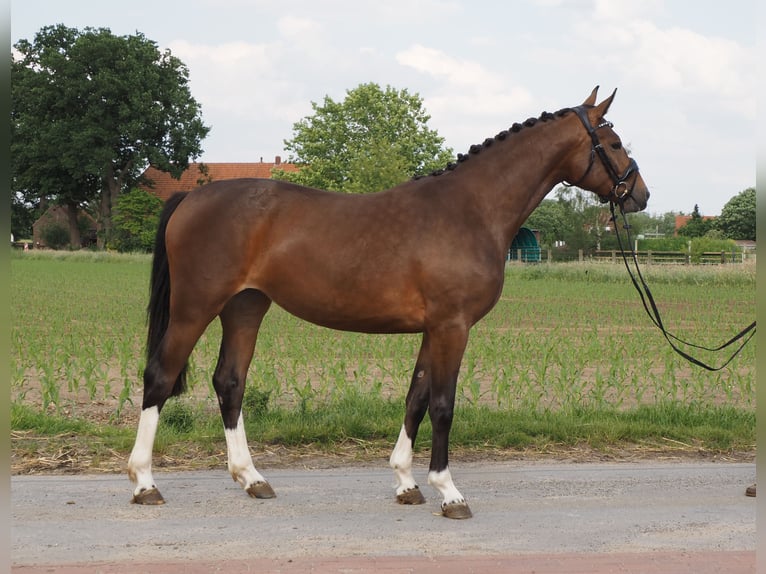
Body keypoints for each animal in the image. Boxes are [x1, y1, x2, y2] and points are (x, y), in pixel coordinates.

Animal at [130, 86, 648, 520]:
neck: (471, 209)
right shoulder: (453, 326)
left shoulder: (433, 329)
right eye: (614, 142)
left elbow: (415, 398)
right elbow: (442, 404)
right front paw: (449, 492)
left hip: (245, 307)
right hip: (195, 308)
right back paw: (144, 483)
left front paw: (406, 483)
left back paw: (252, 479)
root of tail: (191, 197)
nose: (640, 195)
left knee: (230, 382)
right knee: (160, 376)